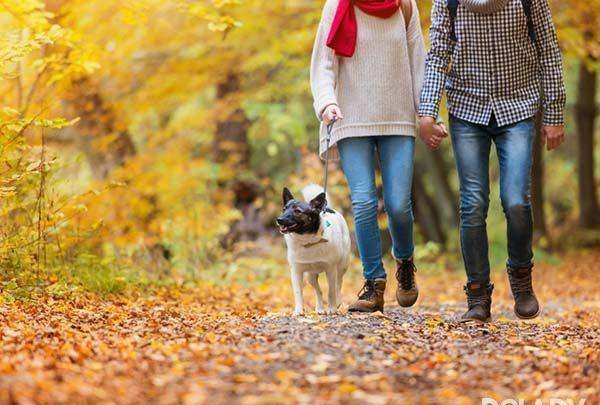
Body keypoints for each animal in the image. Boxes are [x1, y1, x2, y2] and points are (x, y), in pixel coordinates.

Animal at [278, 185, 352, 314]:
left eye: (298, 211)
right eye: (284, 209)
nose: (279, 219)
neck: (308, 241)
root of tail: (327, 208)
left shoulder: (331, 270)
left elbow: (331, 291)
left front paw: (332, 309)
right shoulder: (296, 272)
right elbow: (298, 293)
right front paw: (298, 311)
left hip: (342, 267)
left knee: (338, 284)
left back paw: (337, 303)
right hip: (310, 276)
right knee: (318, 291)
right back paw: (320, 308)